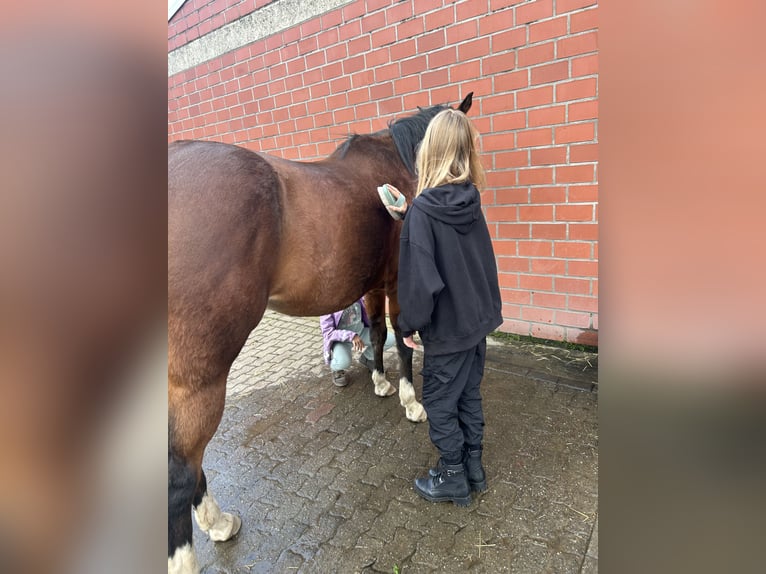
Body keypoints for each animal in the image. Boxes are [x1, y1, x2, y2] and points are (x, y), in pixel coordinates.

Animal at [170, 93, 474, 572]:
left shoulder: (372, 285)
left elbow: (374, 330)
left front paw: (380, 382)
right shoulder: (397, 280)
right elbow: (403, 340)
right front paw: (411, 401)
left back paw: (218, 523)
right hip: (199, 376)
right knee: (181, 469)